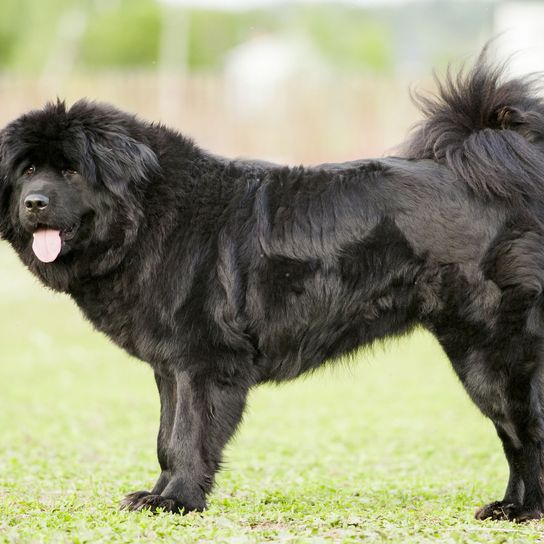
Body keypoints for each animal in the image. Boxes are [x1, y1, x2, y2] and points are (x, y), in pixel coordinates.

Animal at [1, 52, 544, 524]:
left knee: (525, 432)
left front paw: (177, 502)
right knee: (513, 435)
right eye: (27, 170)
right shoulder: (171, 367)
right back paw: (509, 506)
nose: (34, 203)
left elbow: (187, 437)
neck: (148, 214)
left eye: (70, 170)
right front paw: (157, 496)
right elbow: (165, 438)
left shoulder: (204, 362)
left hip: (493, 354)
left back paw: (522, 511)